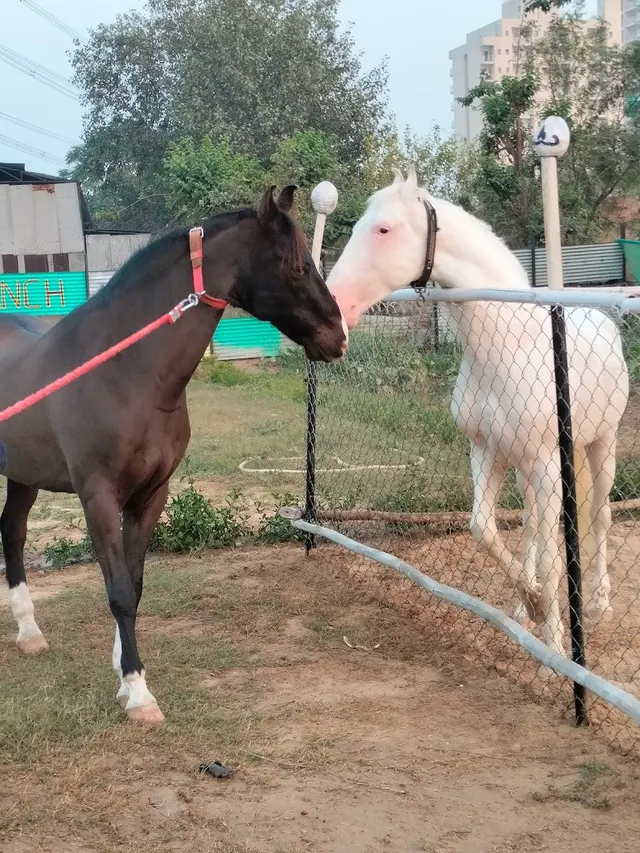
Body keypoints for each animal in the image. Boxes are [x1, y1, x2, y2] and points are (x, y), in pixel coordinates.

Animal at [0, 185, 348, 725]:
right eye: (295, 266)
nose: (340, 336)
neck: (126, 372)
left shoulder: (151, 494)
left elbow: (135, 584)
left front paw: (123, 675)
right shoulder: (98, 497)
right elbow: (119, 591)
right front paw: (139, 693)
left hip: (23, 473)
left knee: (12, 532)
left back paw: (30, 633)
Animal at [327, 167, 629, 657]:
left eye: (384, 230)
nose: (335, 305)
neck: (510, 345)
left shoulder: (547, 463)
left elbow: (553, 554)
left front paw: (555, 645)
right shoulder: (488, 452)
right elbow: (484, 529)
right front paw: (534, 602)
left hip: (602, 444)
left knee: (599, 516)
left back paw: (600, 604)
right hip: (527, 471)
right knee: (530, 523)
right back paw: (526, 608)